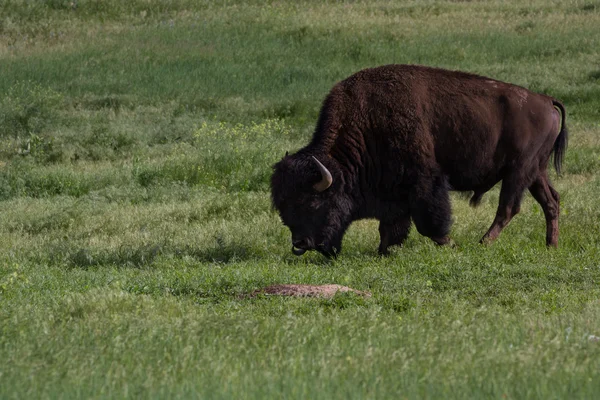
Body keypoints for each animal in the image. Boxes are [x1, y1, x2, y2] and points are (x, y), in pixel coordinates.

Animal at [272, 62, 568, 256]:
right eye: (283, 207)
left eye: (311, 201)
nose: (300, 245)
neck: (366, 125)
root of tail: (546, 100)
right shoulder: (394, 193)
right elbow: (391, 225)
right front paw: (384, 250)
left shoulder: (424, 182)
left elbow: (428, 221)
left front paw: (449, 243)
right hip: (536, 171)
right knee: (551, 201)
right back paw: (551, 245)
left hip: (518, 171)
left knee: (508, 208)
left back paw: (484, 242)